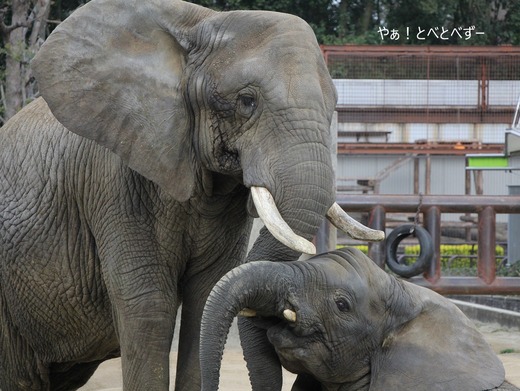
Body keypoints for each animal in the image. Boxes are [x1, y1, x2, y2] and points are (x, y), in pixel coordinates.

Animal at [0, 0, 382, 391]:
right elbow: (149, 306)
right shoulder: (113, 182)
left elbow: (206, 296)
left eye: (333, 106)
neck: (202, 23)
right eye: (247, 101)